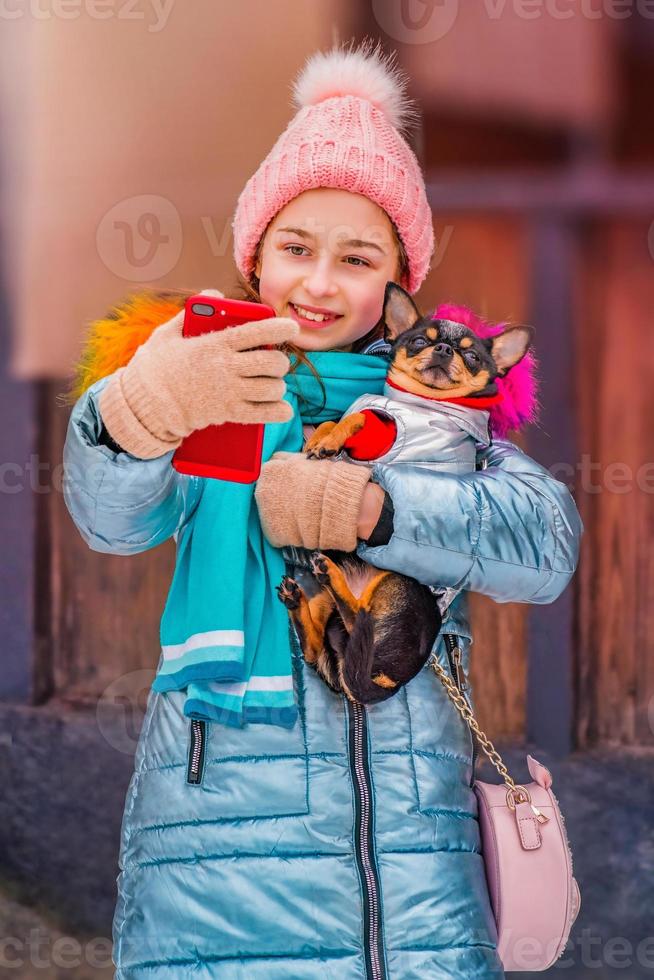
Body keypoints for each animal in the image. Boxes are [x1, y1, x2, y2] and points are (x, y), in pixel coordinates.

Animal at [274, 284, 536, 704]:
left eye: (472, 356)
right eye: (417, 341)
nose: (444, 349)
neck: (422, 402)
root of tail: (383, 681)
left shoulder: (382, 428)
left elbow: (356, 417)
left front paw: (328, 440)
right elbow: (340, 418)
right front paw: (319, 438)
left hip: (392, 585)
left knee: (358, 616)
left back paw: (331, 575)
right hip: (326, 613)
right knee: (318, 646)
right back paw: (299, 601)